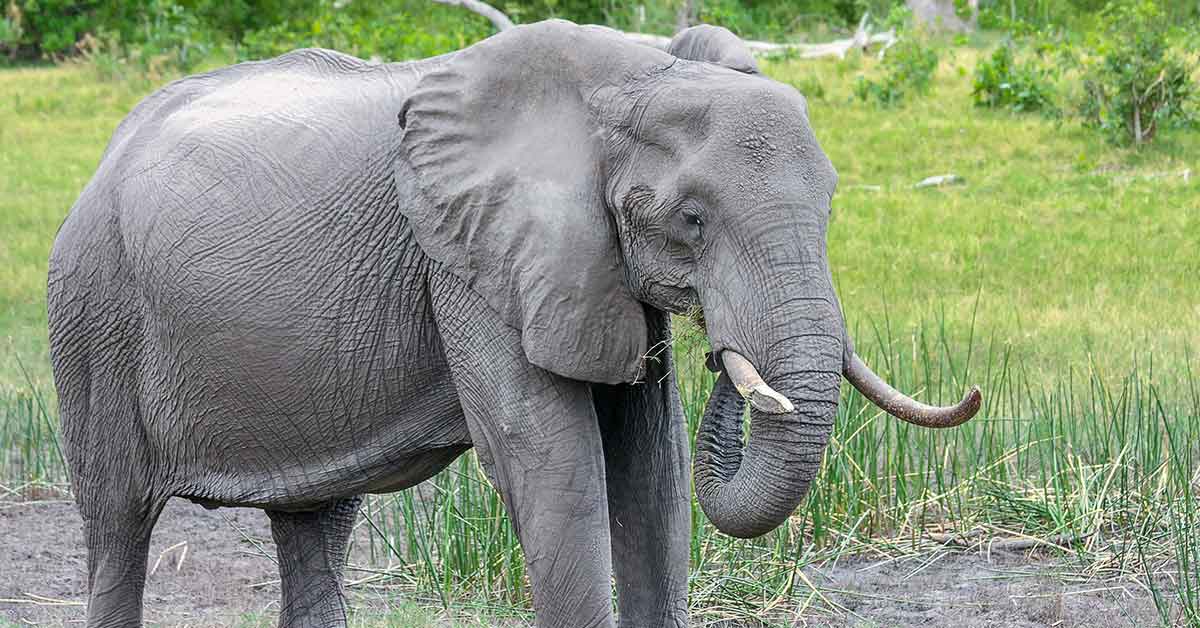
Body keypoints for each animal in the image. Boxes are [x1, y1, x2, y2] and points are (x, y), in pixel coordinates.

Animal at [49, 18, 984, 628]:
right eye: (690, 220)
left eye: (830, 203)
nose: (727, 358)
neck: (636, 74)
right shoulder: (467, 258)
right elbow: (552, 460)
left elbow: (652, 464)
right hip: (94, 313)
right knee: (118, 524)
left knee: (315, 521)